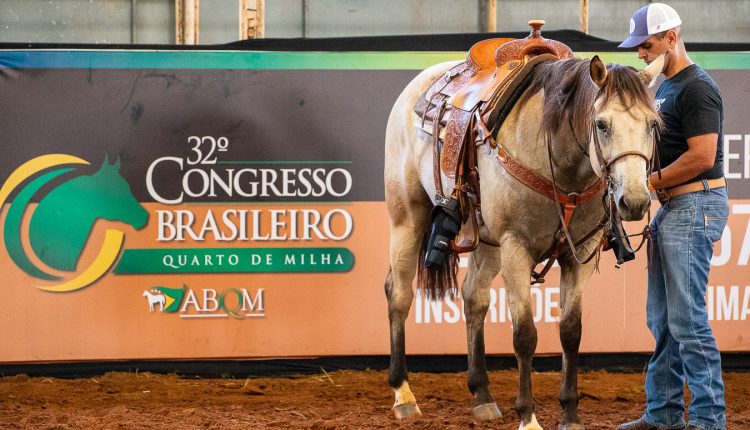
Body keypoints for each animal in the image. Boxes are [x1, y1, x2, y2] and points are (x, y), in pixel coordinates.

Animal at [384, 24, 668, 430]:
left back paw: (482, 395)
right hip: (408, 217)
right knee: (399, 294)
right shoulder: (517, 248)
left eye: (652, 124)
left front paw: (570, 414)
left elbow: (571, 331)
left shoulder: (579, 254)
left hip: (487, 241)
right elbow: (524, 335)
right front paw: (529, 416)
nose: (634, 201)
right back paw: (403, 394)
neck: (562, 169)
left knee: (474, 298)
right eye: (601, 124)